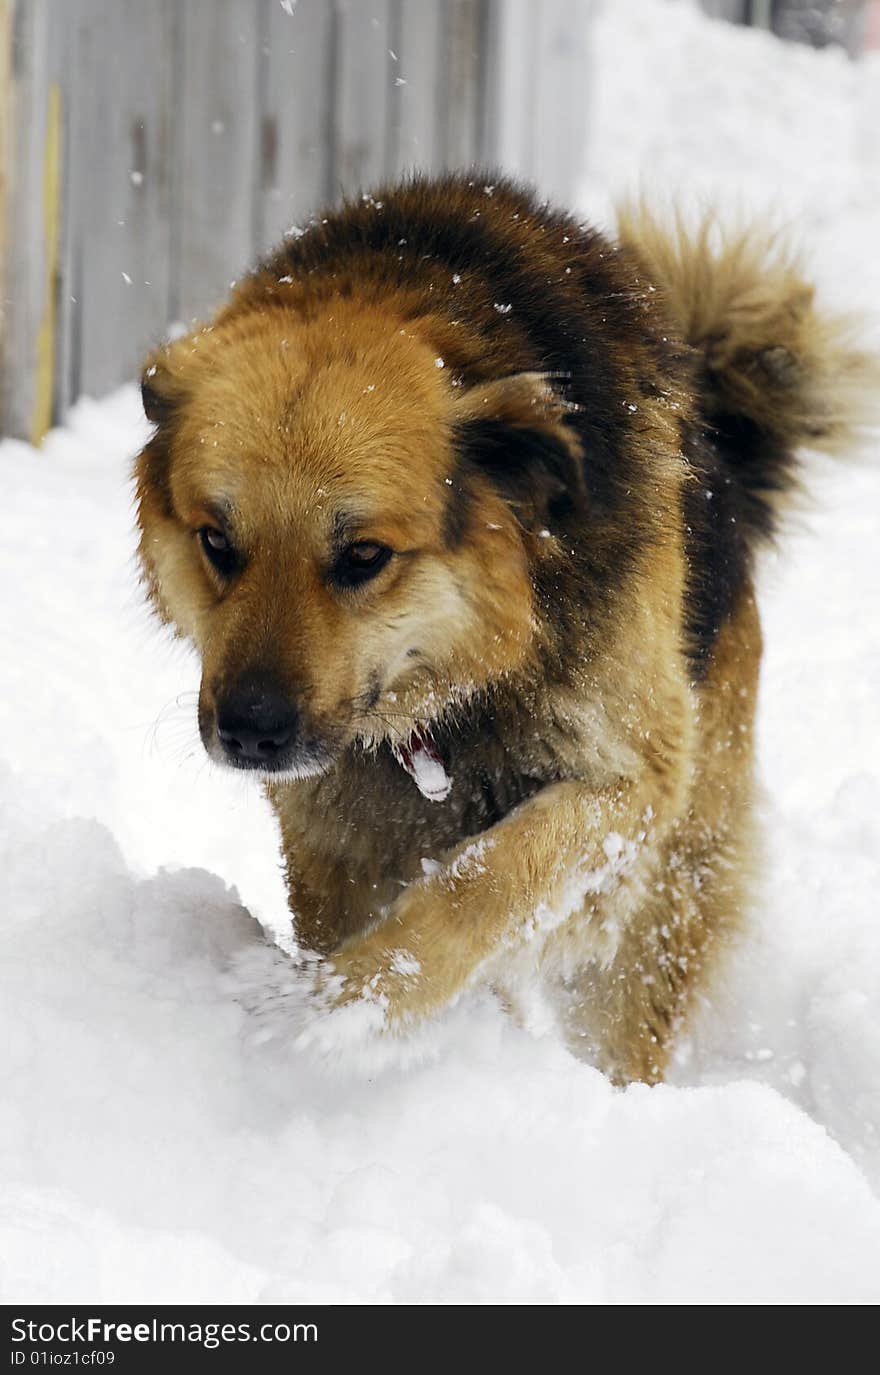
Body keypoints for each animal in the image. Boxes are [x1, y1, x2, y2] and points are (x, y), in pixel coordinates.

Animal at [134, 171, 874, 1078]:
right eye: (216, 541)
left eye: (364, 555)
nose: (249, 731)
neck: (454, 705)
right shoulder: (331, 841)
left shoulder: (630, 786)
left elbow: (481, 879)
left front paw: (351, 1006)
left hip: (666, 887)